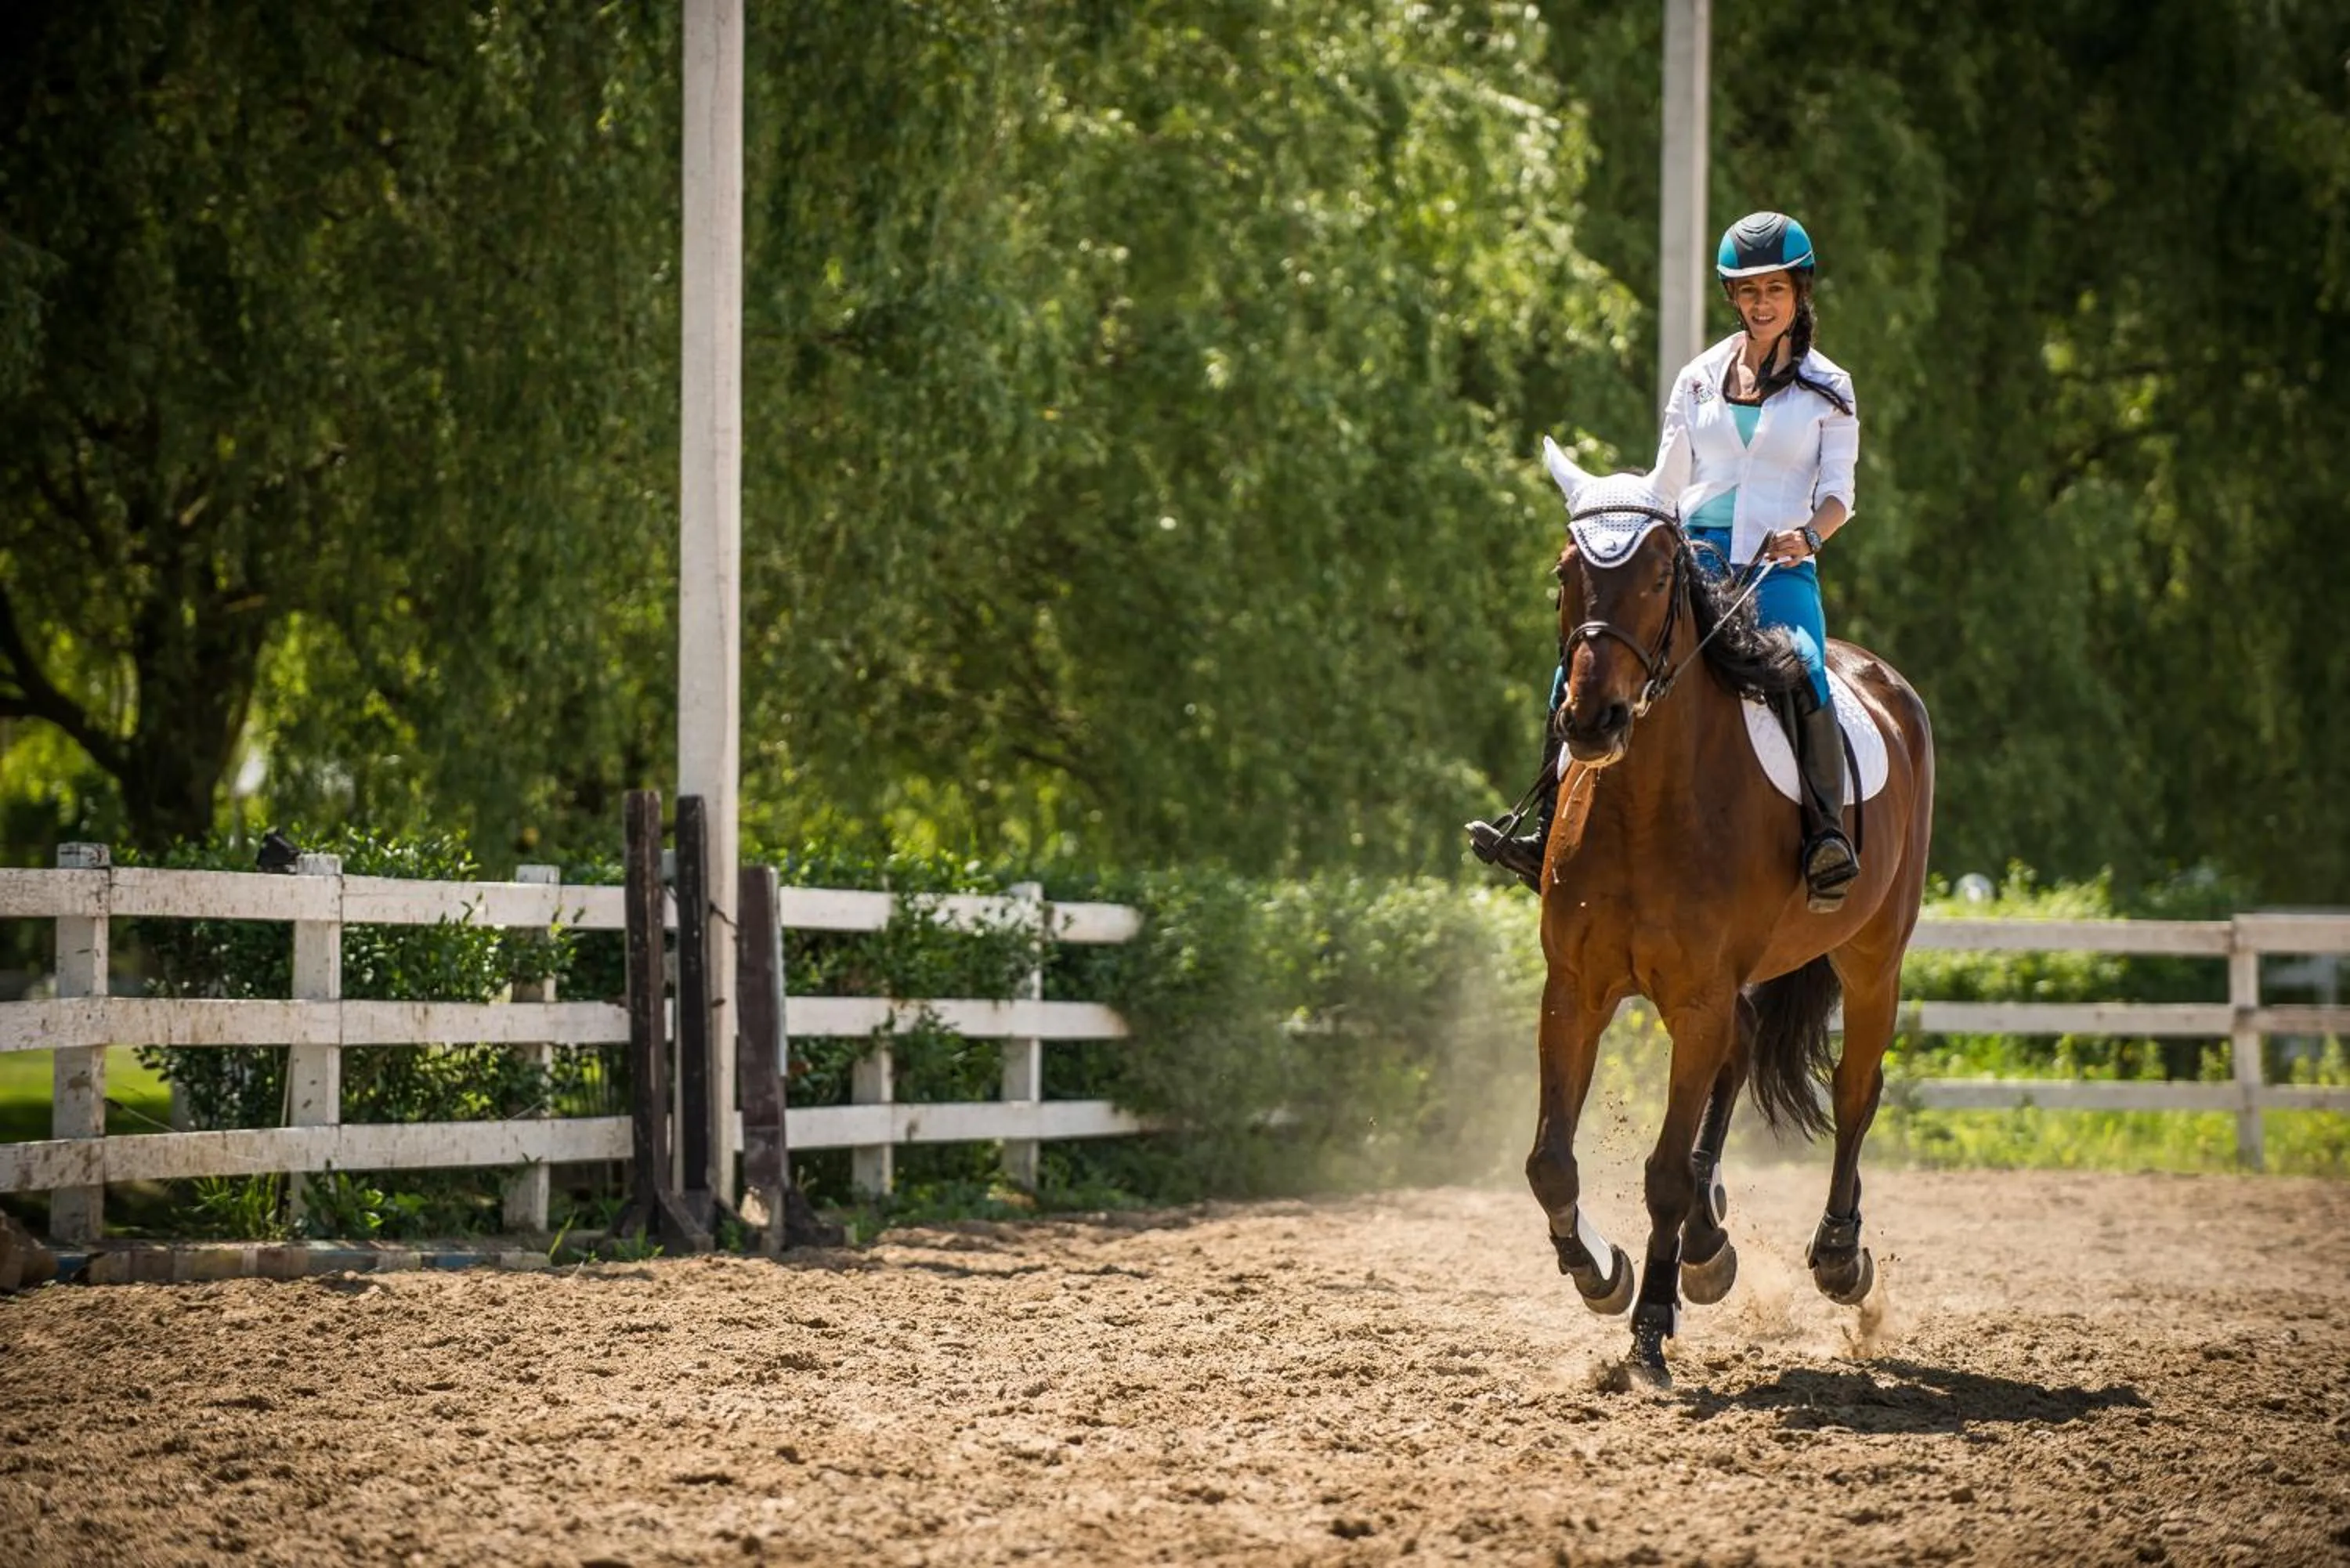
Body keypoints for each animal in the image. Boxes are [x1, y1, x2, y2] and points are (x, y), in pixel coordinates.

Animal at [1525, 444, 1934, 1387]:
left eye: (1658, 574)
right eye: (1566, 573)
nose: (1591, 720)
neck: (1643, 806)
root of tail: (1883, 680)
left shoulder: (1698, 998)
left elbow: (1666, 1173)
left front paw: (1647, 1330)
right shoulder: (1575, 991)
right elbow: (1550, 1161)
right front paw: (1602, 1274)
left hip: (1873, 957)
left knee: (1855, 1088)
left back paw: (1837, 1255)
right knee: (1743, 1055)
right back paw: (1709, 1248)